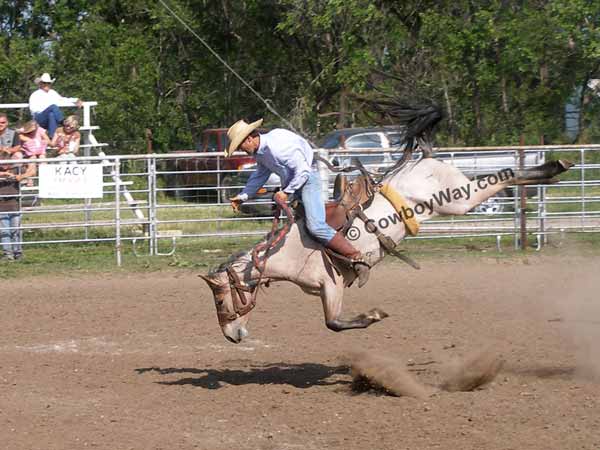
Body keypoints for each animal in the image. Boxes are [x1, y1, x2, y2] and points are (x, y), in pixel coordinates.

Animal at [200, 103, 572, 342]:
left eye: (219, 301)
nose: (232, 337)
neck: (287, 252)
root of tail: (424, 157)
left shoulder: (331, 283)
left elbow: (334, 323)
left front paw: (374, 314)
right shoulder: (325, 290)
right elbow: (332, 322)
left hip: (459, 197)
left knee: (502, 177)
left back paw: (555, 165)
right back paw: (552, 171)